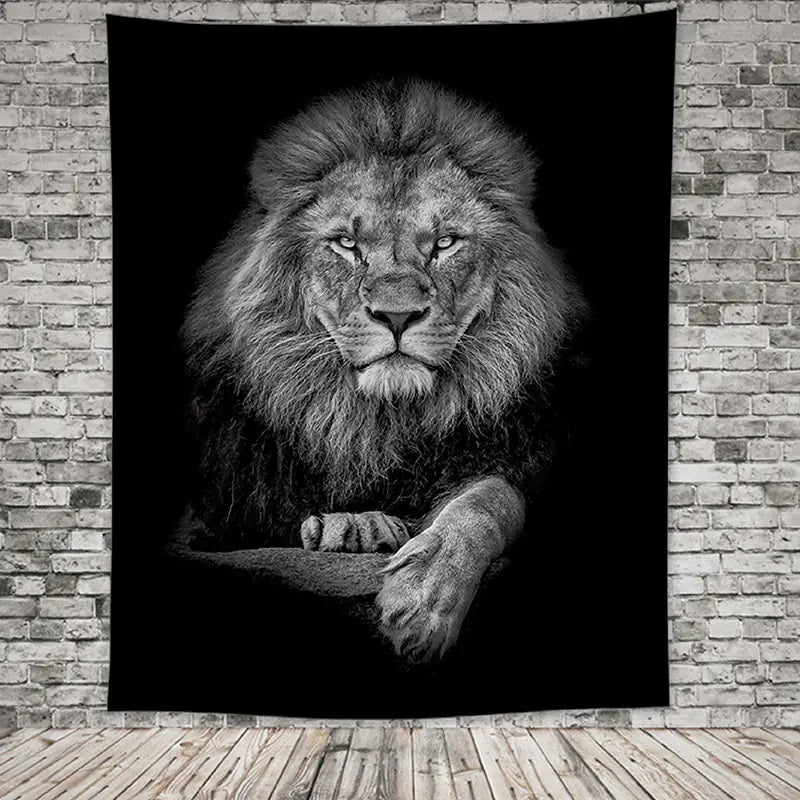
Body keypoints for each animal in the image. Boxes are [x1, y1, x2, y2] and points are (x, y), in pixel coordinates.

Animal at [180, 78, 589, 664]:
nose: (396, 315)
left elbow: (490, 499)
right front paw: (356, 525)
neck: (378, 423)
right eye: (347, 244)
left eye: (445, 243)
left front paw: (424, 599)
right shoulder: (215, 513)